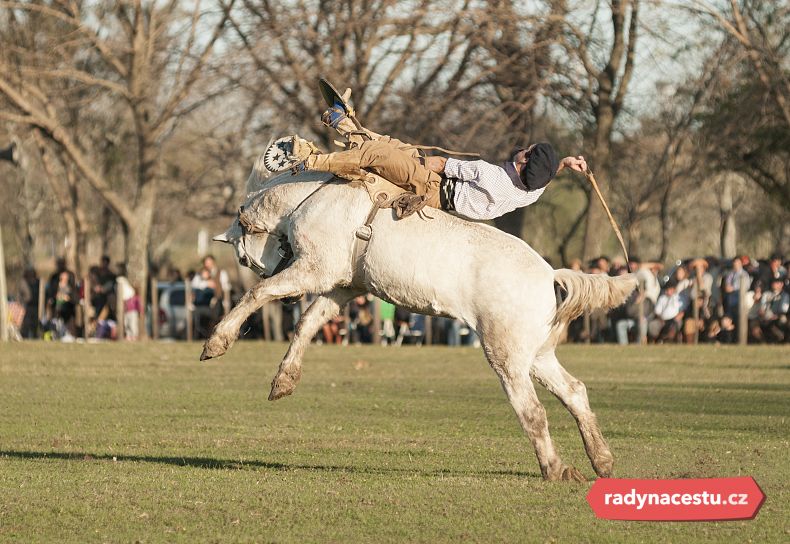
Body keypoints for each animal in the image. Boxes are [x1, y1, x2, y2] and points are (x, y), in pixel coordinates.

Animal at [203, 162, 636, 480]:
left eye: (241, 257)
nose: (261, 268)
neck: (315, 197)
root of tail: (549, 276)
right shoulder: (343, 286)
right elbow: (308, 323)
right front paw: (284, 381)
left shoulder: (315, 270)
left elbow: (259, 295)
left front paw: (216, 342)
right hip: (538, 355)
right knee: (575, 392)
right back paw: (601, 460)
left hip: (506, 356)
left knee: (531, 410)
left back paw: (555, 468)